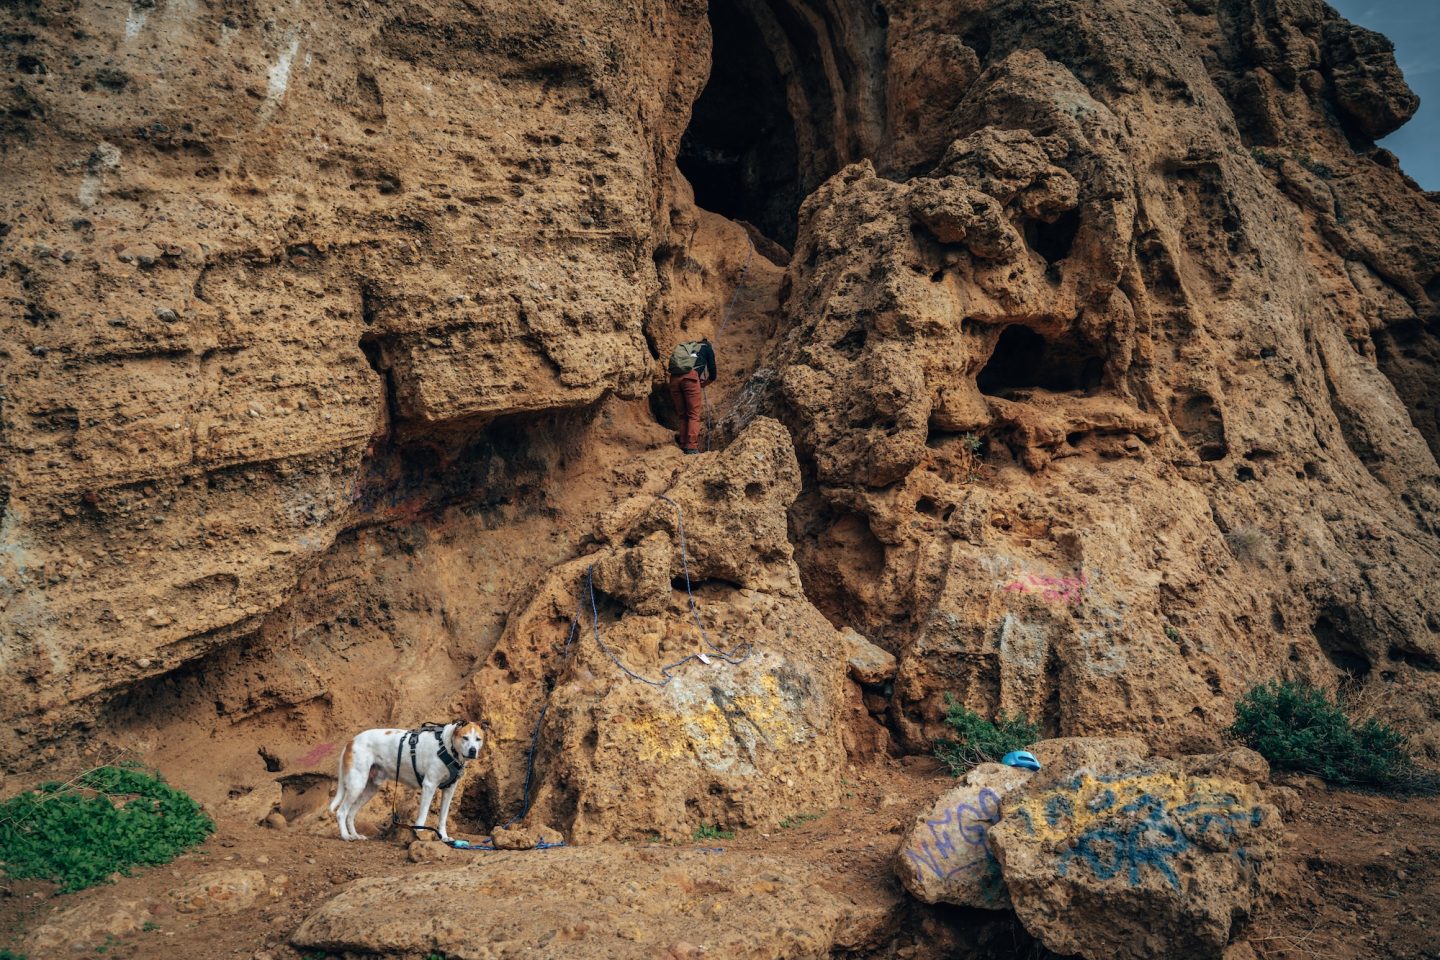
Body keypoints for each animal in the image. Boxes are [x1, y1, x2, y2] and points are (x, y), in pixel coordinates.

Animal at [326, 719, 483, 840]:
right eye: (465, 737)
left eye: (478, 739)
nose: (473, 751)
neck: (446, 746)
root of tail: (351, 741)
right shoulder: (429, 785)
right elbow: (423, 813)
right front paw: (419, 832)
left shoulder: (449, 790)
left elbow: (443, 817)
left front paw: (443, 837)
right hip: (356, 785)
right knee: (341, 812)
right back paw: (346, 836)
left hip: (369, 789)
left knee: (351, 814)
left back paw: (355, 835)